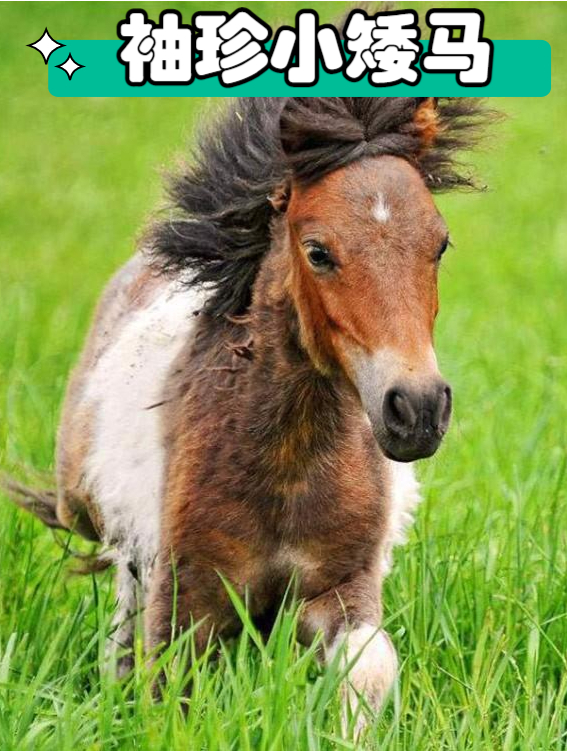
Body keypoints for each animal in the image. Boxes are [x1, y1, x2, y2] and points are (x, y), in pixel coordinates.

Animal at [4, 96, 492, 722]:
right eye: (318, 252)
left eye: (440, 244)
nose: (418, 409)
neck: (287, 466)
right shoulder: (187, 604)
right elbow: (167, 691)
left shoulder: (338, 587)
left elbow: (369, 668)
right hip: (93, 515)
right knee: (123, 606)